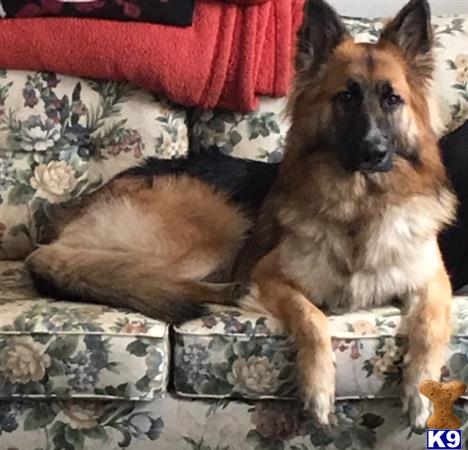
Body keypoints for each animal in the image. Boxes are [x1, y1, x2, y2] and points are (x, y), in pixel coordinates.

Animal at [26, 0, 458, 430]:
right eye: (347, 97)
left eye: (392, 99)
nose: (374, 152)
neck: (360, 209)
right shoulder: (273, 277)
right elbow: (313, 319)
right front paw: (319, 389)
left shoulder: (433, 283)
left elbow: (430, 326)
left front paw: (421, 393)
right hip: (218, 226)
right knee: (117, 268)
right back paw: (227, 291)